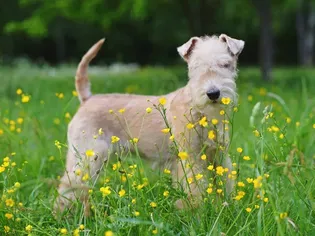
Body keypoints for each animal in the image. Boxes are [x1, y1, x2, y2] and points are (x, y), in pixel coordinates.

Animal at [55, 33, 246, 216]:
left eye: (226, 64)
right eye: (195, 67)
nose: (213, 93)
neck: (199, 111)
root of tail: (87, 99)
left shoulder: (219, 154)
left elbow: (226, 183)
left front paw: (229, 207)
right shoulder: (191, 157)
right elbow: (196, 189)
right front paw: (199, 213)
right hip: (87, 156)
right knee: (66, 189)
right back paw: (63, 216)